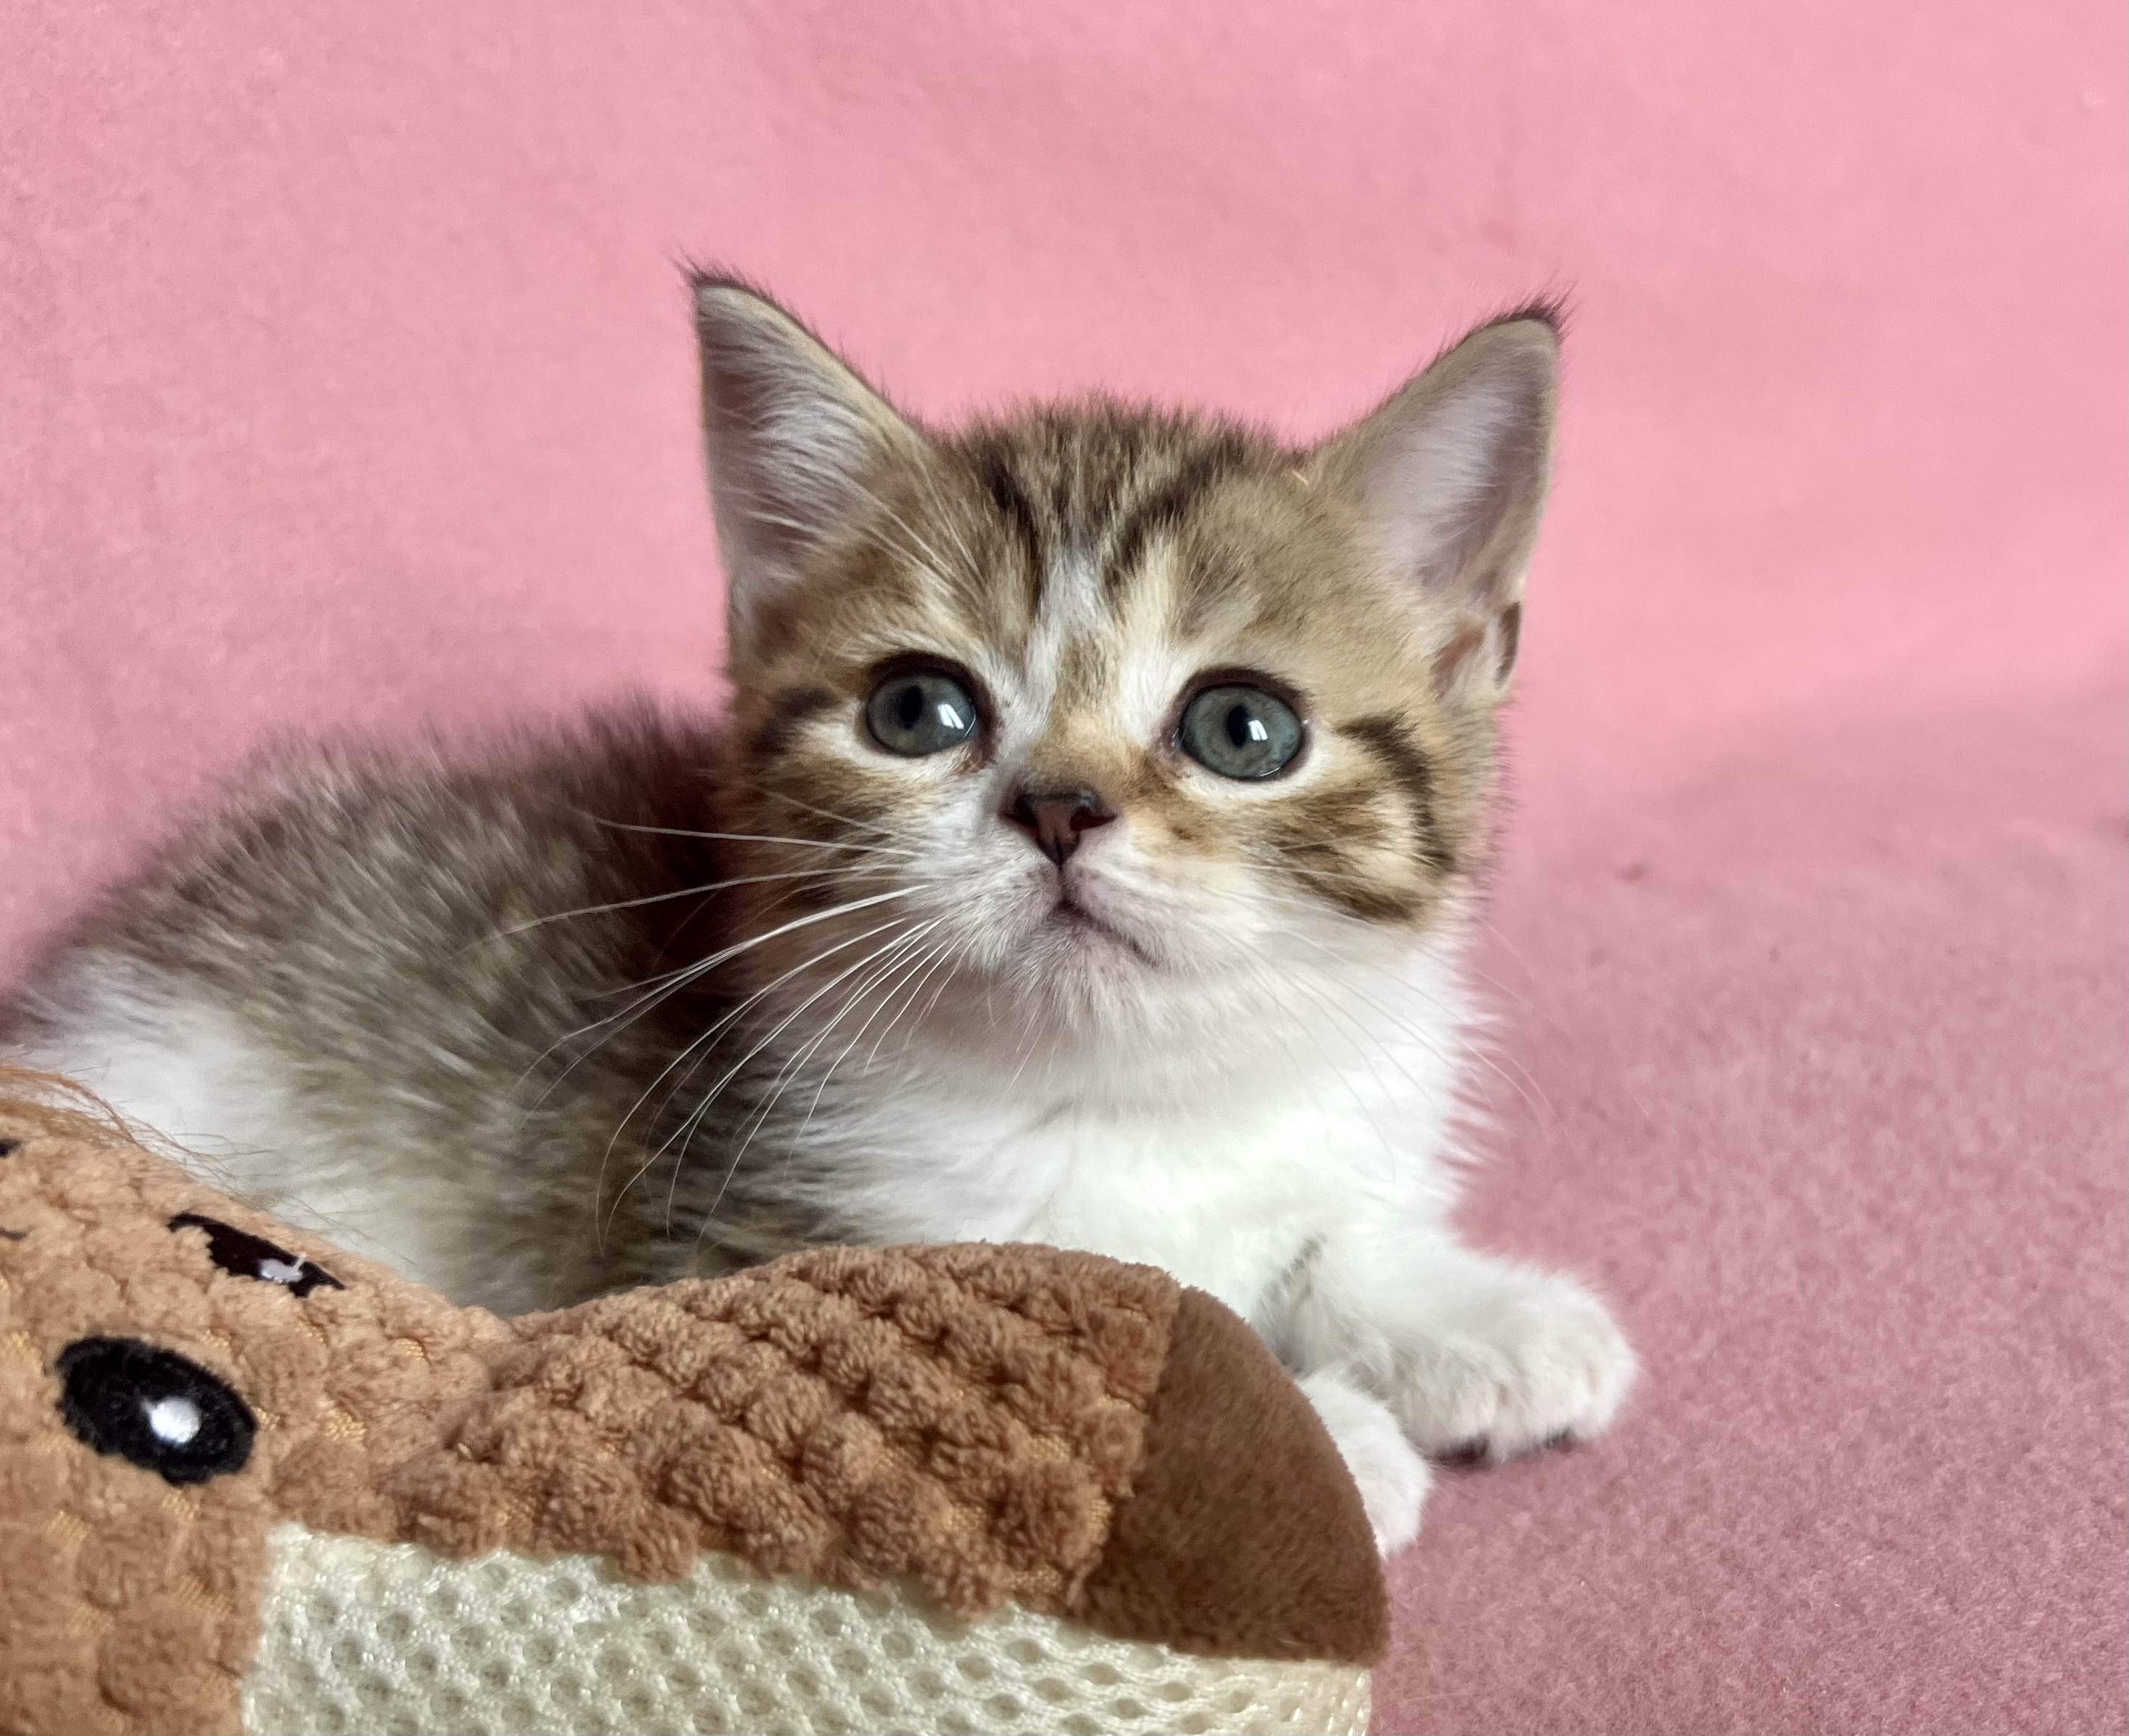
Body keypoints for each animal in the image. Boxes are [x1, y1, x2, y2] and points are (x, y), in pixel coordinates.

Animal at [4, 276, 1635, 1551]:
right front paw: (1313, 1437)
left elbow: (1324, 1235)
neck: (1113, 1095)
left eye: (1243, 729)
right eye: (918, 710)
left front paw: (1476, 1318)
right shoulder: (742, 1246)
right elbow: (1079, 1332)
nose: (1058, 806)